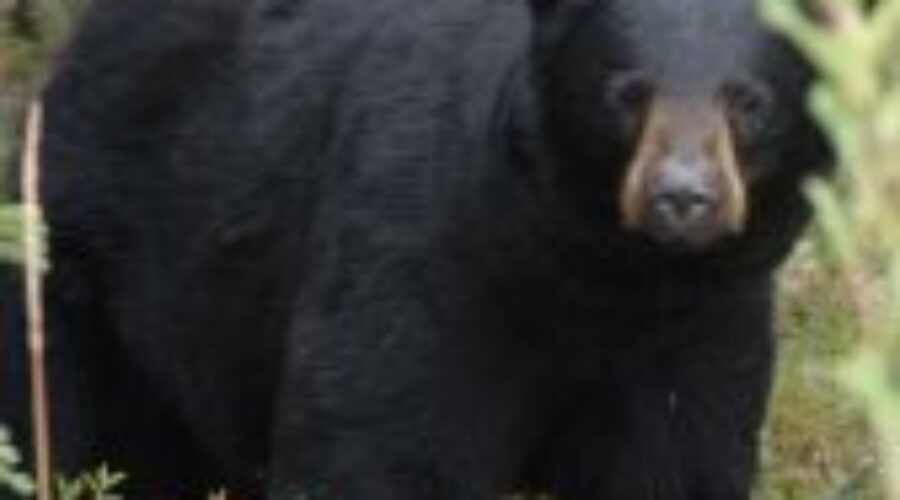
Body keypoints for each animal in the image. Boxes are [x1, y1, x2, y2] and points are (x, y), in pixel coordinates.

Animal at [1, 0, 830, 498]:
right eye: (626, 92)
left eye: (747, 101)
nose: (683, 197)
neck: (596, 272)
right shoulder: (424, 253)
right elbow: (380, 439)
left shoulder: (697, 325)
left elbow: (676, 459)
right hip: (91, 269)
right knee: (81, 434)